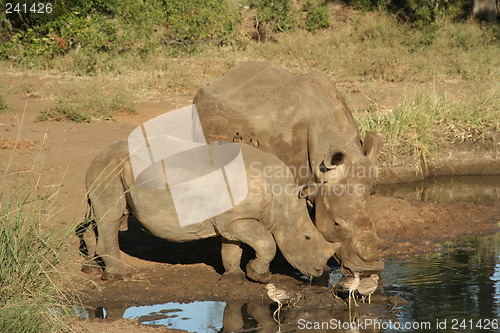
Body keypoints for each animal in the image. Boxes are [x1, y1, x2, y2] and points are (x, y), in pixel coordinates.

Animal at [80, 141, 342, 282]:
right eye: (307, 238)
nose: (321, 271)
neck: (282, 202)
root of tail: (97, 155)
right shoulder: (238, 219)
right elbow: (267, 243)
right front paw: (259, 276)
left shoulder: (232, 219)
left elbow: (231, 247)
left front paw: (234, 277)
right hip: (110, 170)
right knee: (110, 219)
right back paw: (117, 277)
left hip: (109, 169)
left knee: (96, 218)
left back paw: (90, 269)